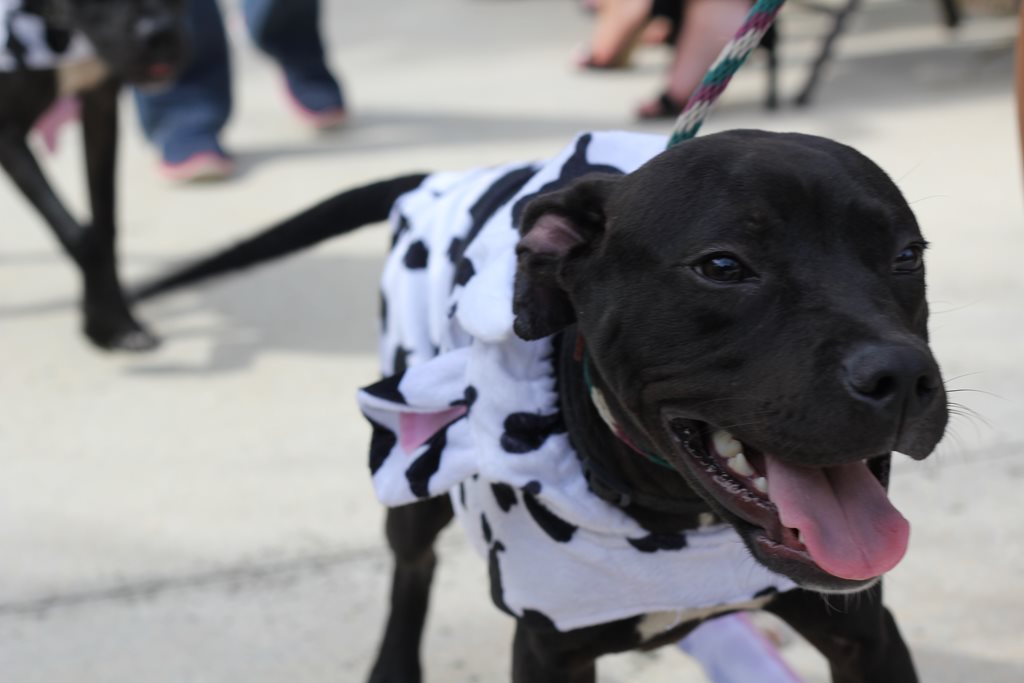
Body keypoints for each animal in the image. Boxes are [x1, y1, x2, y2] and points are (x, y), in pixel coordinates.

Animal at [1, 0, 184, 350]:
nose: (160, 34)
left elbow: (104, 225)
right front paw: (104, 321)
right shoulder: (7, 133)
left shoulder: (100, 106)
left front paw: (114, 321)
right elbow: (79, 235)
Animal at [138, 129, 950, 683]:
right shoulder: (546, 650)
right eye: (723, 266)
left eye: (907, 255)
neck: (677, 520)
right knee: (411, 568)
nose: (901, 375)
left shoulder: (865, 634)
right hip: (410, 461)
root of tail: (440, 179)